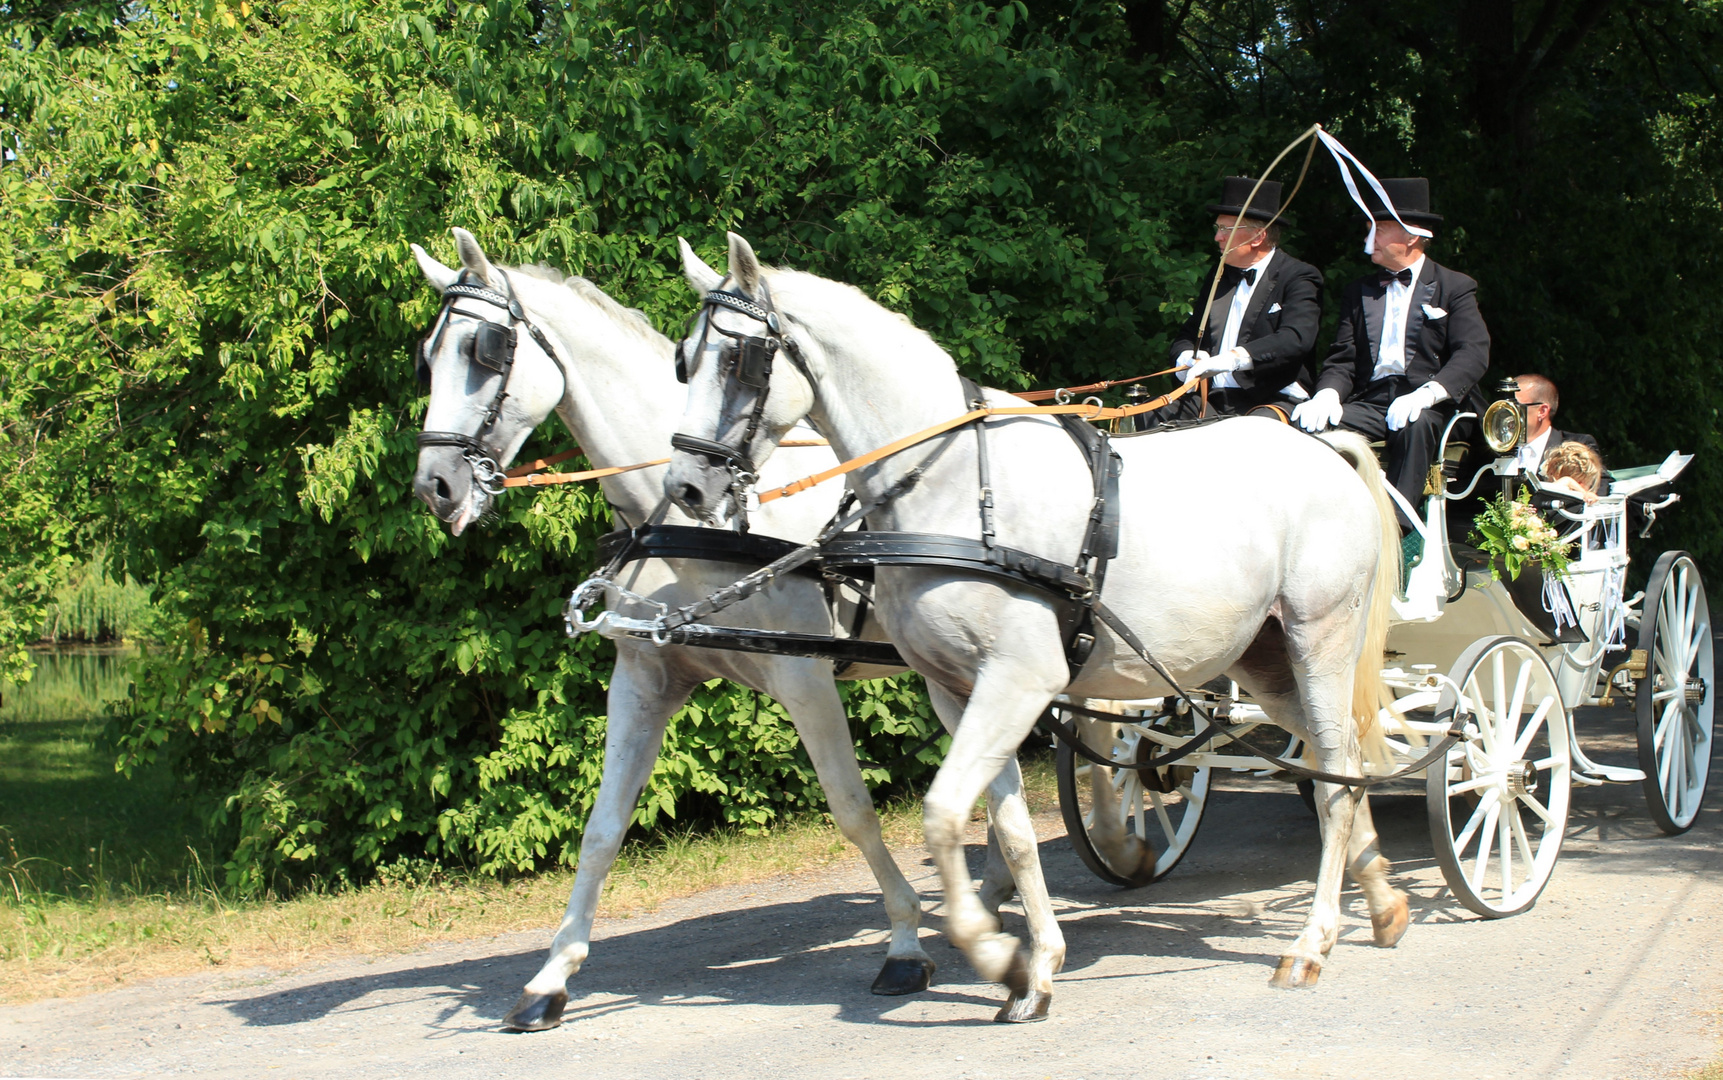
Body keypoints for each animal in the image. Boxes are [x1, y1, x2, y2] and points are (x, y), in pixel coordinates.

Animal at [408, 230, 951, 1033]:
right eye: (428, 354)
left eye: (486, 350)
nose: (435, 485)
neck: (691, 523)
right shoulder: (644, 680)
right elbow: (601, 830)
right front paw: (549, 979)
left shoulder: (802, 676)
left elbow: (852, 809)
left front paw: (906, 944)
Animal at [665, 234, 1405, 1019]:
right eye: (684, 357)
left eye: (736, 360)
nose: (685, 486)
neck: (953, 485)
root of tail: (1323, 451)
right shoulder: (960, 691)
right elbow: (1011, 830)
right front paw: (1039, 964)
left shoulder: (1019, 680)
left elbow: (942, 814)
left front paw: (994, 953)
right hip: (1264, 663)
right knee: (1343, 761)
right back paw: (1382, 901)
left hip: (1319, 638)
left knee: (1335, 778)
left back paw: (1312, 941)